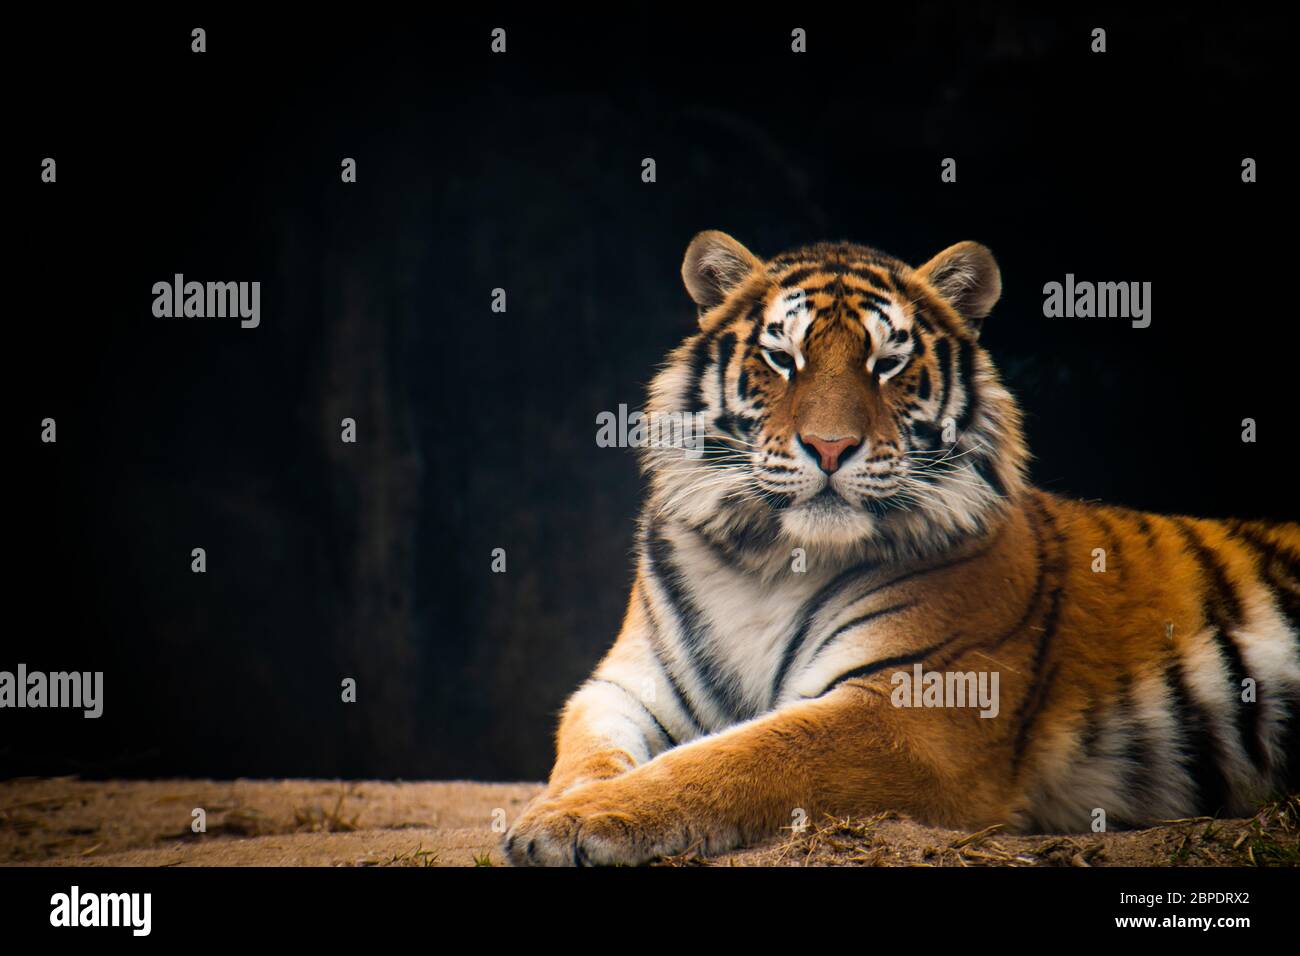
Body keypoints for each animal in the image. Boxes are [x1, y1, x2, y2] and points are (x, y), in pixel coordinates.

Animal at [503, 230, 1300, 866]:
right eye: (782, 358)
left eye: (887, 363)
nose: (829, 447)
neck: (771, 563)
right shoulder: (625, 687)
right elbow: (590, 751)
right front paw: (561, 806)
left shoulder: (912, 711)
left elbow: (732, 758)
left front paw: (570, 823)